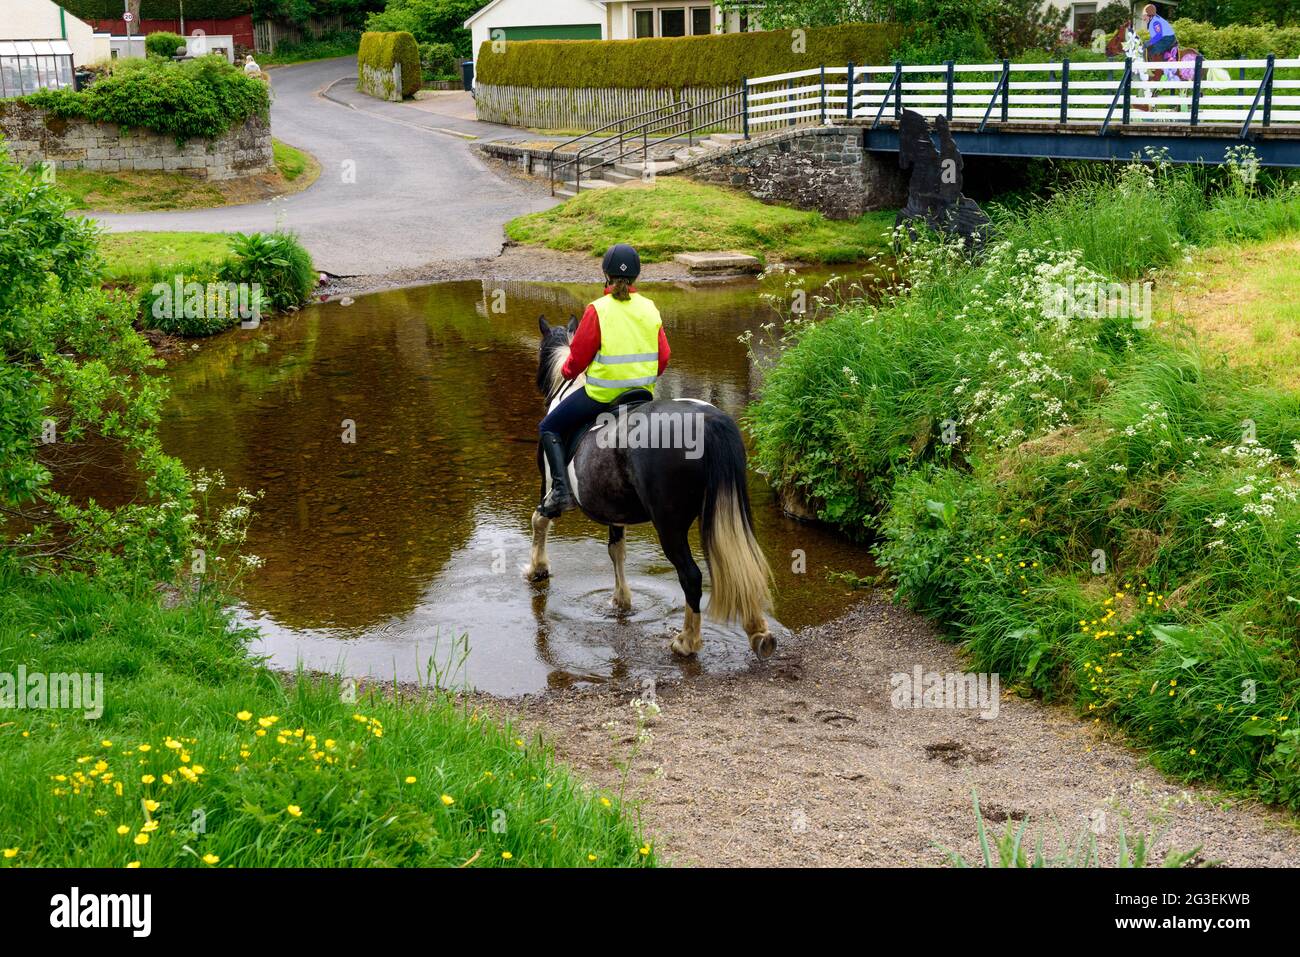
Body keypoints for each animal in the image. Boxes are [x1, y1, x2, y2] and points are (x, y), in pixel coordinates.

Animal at [522, 314, 774, 657]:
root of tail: (709, 421)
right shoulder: (613, 509)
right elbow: (616, 550)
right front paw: (621, 600)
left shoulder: (549, 487)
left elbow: (539, 521)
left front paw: (537, 569)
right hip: (727, 509)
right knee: (741, 563)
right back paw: (758, 632)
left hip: (669, 525)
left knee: (691, 576)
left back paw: (686, 641)